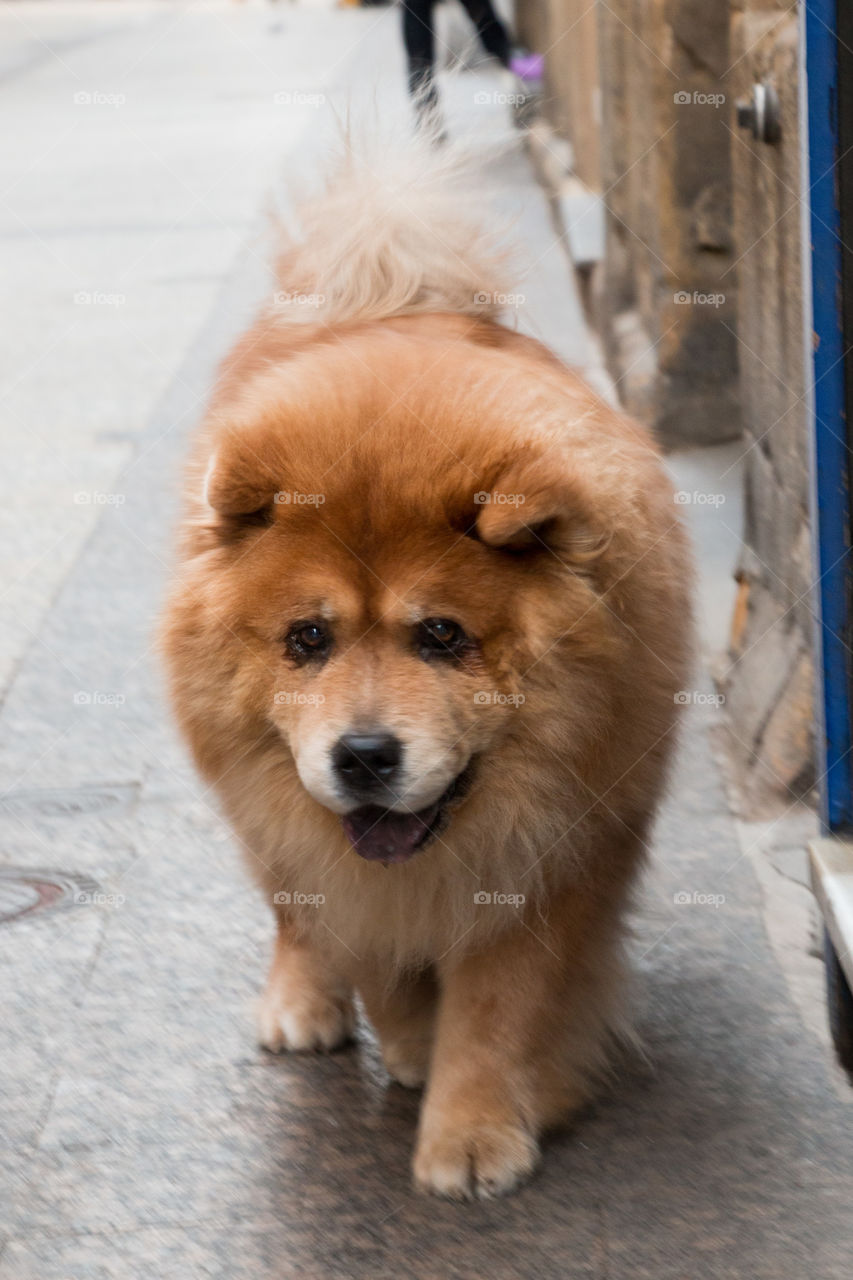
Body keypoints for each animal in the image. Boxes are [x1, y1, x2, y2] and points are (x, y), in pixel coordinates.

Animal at [161, 140, 691, 1198]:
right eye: (308, 639)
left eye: (442, 636)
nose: (364, 755)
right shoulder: (347, 864)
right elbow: (373, 955)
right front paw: (409, 1044)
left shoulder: (560, 855)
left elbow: (499, 1009)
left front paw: (473, 1132)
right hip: (261, 808)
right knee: (292, 916)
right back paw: (302, 1005)